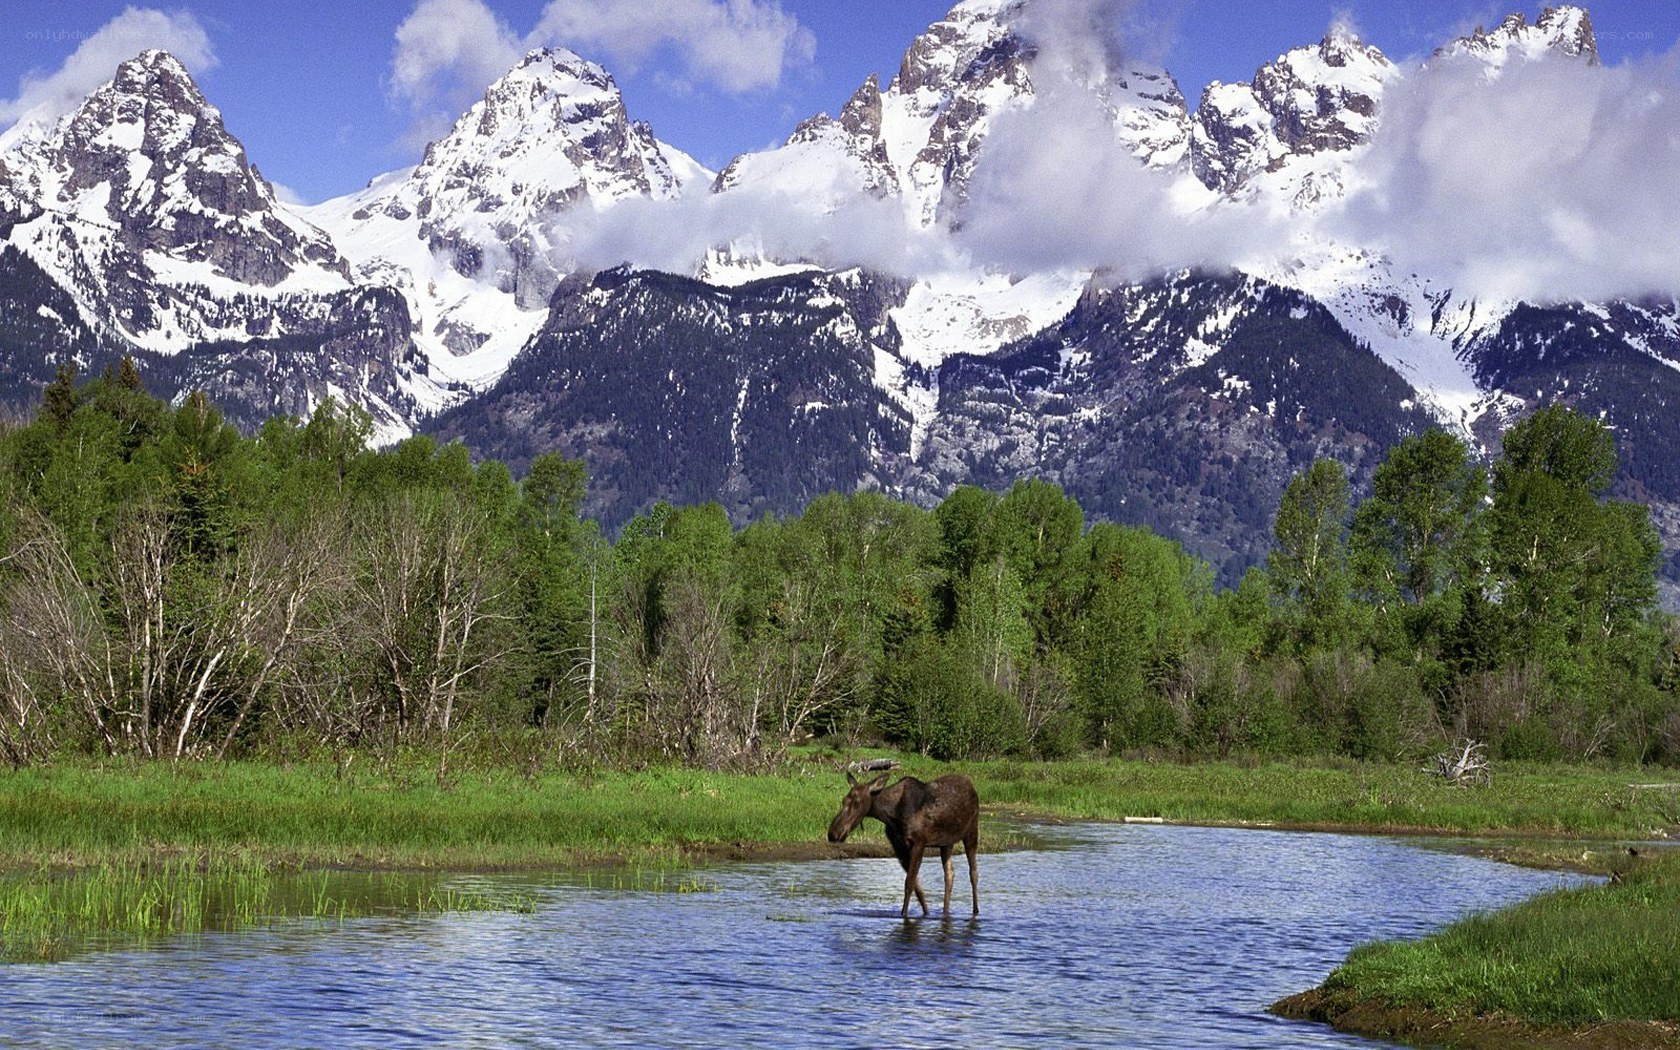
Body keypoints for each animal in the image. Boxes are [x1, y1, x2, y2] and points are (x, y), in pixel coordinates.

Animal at [827, 764, 979, 918]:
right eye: (844, 800)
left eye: (857, 803)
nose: (833, 833)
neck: (891, 815)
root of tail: (972, 786)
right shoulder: (899, 847)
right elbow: (917, 887)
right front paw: (926, 913)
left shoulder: (919, 843)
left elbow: (909, 883)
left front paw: (904, 914)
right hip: (946, 842)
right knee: (949, 874)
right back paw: (945, 912)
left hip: (972, 831)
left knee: (973, 872)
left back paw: (975, 911)